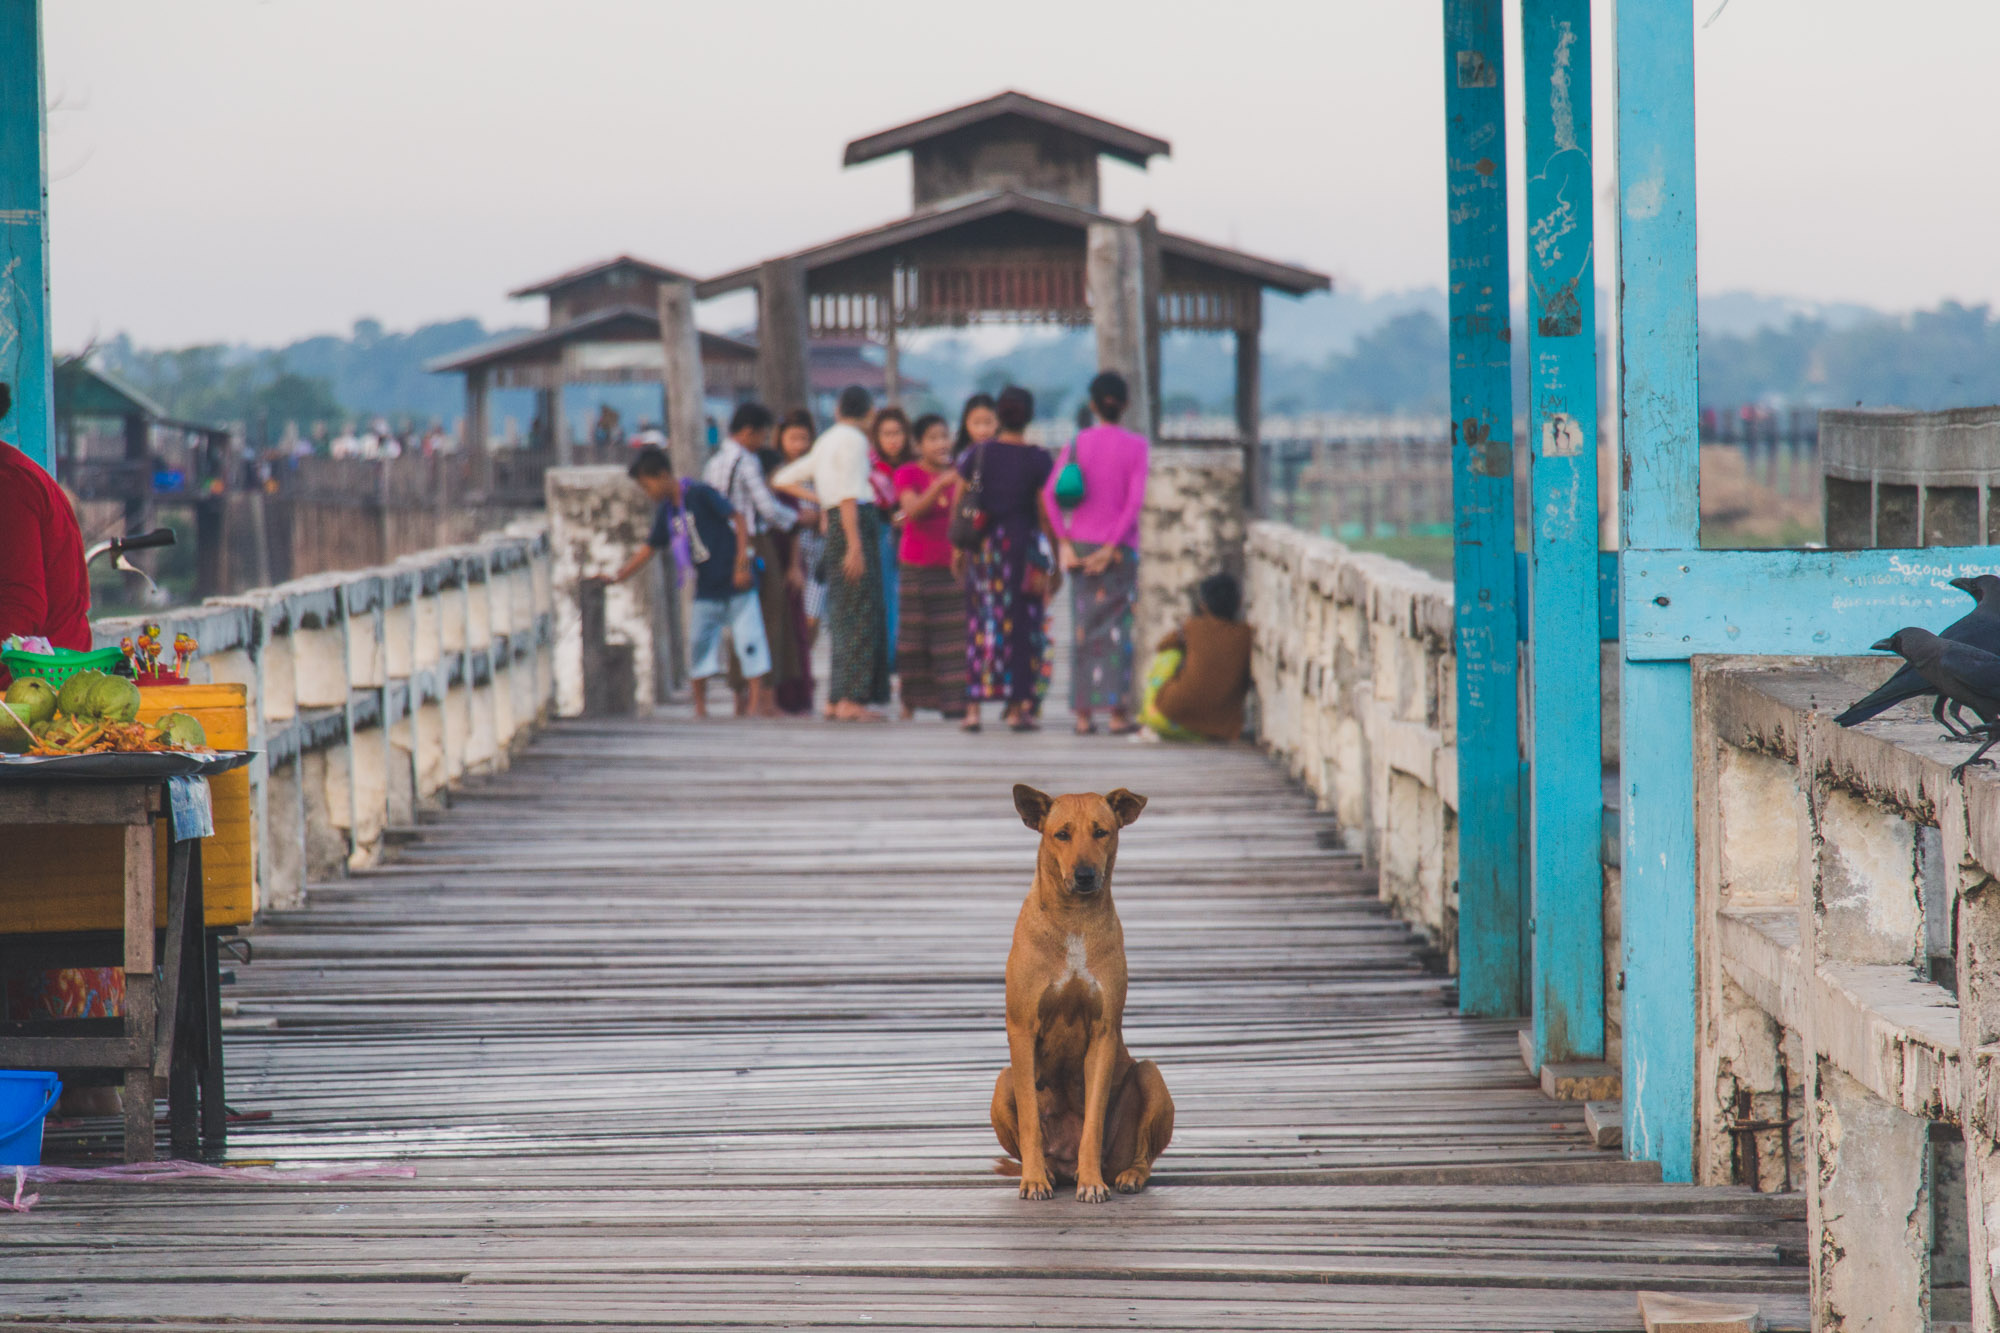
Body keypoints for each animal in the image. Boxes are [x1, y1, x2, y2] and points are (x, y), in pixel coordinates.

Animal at [996, 784, 1168, 1200]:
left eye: (1101, 832)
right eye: (1062, 834)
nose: (1086, 875)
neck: (1074, 917)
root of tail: (1064, 1161)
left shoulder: (1104, 1031)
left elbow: (1093, 1121)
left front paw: (1091, 1182)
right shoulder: (1022, 1028)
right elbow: (1029, 1118)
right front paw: (1033, 1179)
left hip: (1152, 1077)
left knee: (1144, 1154)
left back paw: (1126, 1175)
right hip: (1002, 1080)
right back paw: (1045, 1171)